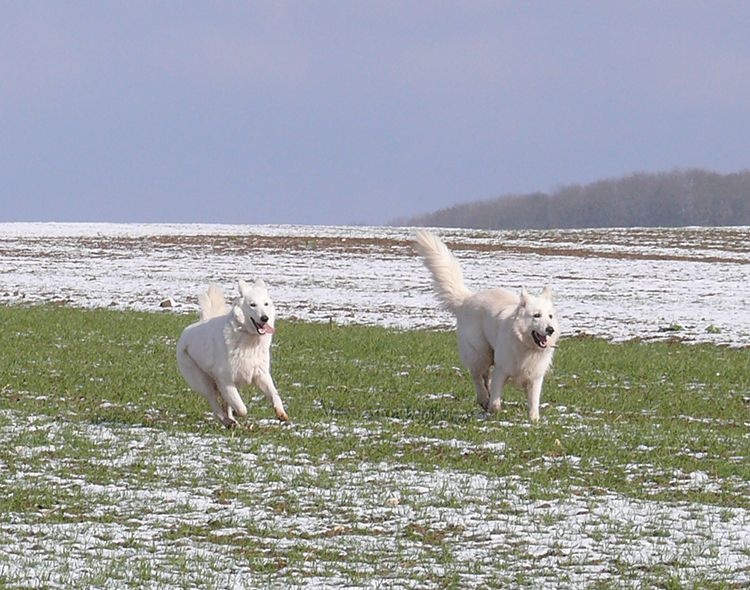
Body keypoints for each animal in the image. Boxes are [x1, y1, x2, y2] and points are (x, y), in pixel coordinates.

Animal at [177, 280, 290, 428]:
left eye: (266, 304)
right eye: (252, 304)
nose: (265, 318)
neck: (249, 339)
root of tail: (186, 333)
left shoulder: (261, 374)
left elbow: (274, 394)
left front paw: (281, 413)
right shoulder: (225, 380)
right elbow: (241, 408)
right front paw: (237, 413)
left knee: (224, 404)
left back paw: (231, 420)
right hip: (202, 381)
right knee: (214, 404)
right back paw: (227, 421)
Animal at [414, 230, 560, 420]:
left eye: (550, 316)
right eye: (536, 315)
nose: (550, 330)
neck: (524, 345)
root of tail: (467, 299)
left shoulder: (535, 377)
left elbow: (533, 403)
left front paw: (534, 420)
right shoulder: (502, 370)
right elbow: (496, 401)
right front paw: (493, 408)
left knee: (485, 377)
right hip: (480, 353)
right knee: (477, 376)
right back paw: (483, 398)